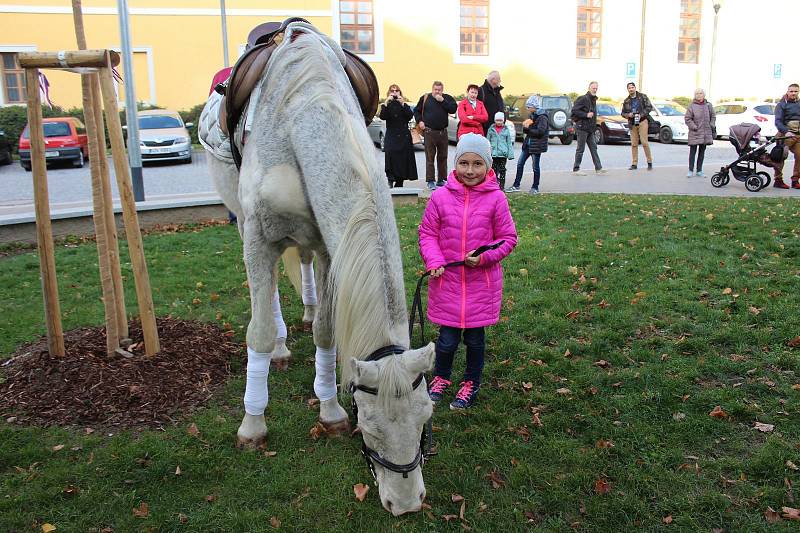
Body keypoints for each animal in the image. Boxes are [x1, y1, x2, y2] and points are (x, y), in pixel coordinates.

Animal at [225, 22, 434, 512]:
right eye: (369, 425)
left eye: (426, 417)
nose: (407, 503)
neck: (299, 109)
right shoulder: (258, 238)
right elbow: (258, 331)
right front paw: (252, 425)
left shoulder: (325, 244)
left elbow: (325, 330)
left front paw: (329, 410)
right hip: (242, 219)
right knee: (268, 304)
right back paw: (281, 349)